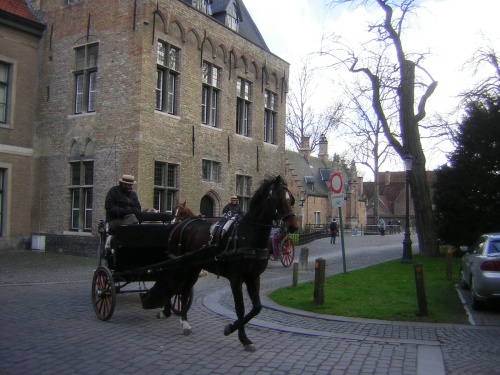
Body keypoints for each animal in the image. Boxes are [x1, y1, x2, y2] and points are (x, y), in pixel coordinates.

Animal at [157, 176, 296, 352]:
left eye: (291, 199)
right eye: (277, 199)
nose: (293, 225)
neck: (247, 235)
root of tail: (180, 226)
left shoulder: (253, 277)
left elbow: (256, 307)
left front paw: (231, 329)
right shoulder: (236, 278)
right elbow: (240, 308)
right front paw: (243, 337)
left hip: (194, 267)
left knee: (184, 290)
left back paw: (184, 322)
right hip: (182, 265)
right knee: (175, 287)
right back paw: (173, 316)